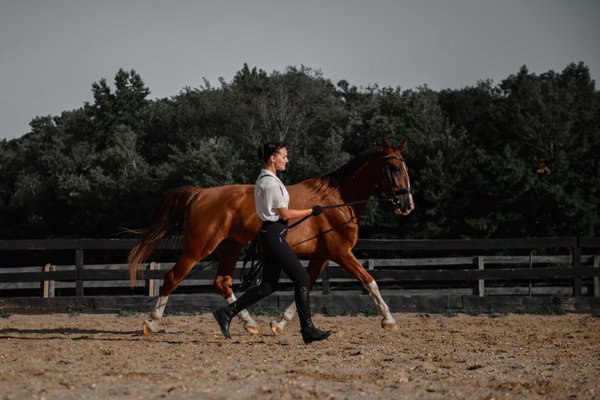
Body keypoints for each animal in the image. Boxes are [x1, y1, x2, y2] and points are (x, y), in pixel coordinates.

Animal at [127, 139, 412, 336]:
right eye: (394, 167)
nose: (407, 205)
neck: (337, 200)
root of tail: (201, 193)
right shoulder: (341, 253)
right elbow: (369, 281)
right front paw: (388, 320)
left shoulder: (322, 255)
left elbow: (306, 285)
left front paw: (279, 324)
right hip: (197, 249)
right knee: (172, 278)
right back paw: (151, 323)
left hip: (229, 248)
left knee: (222, 283)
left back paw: (248, 324)